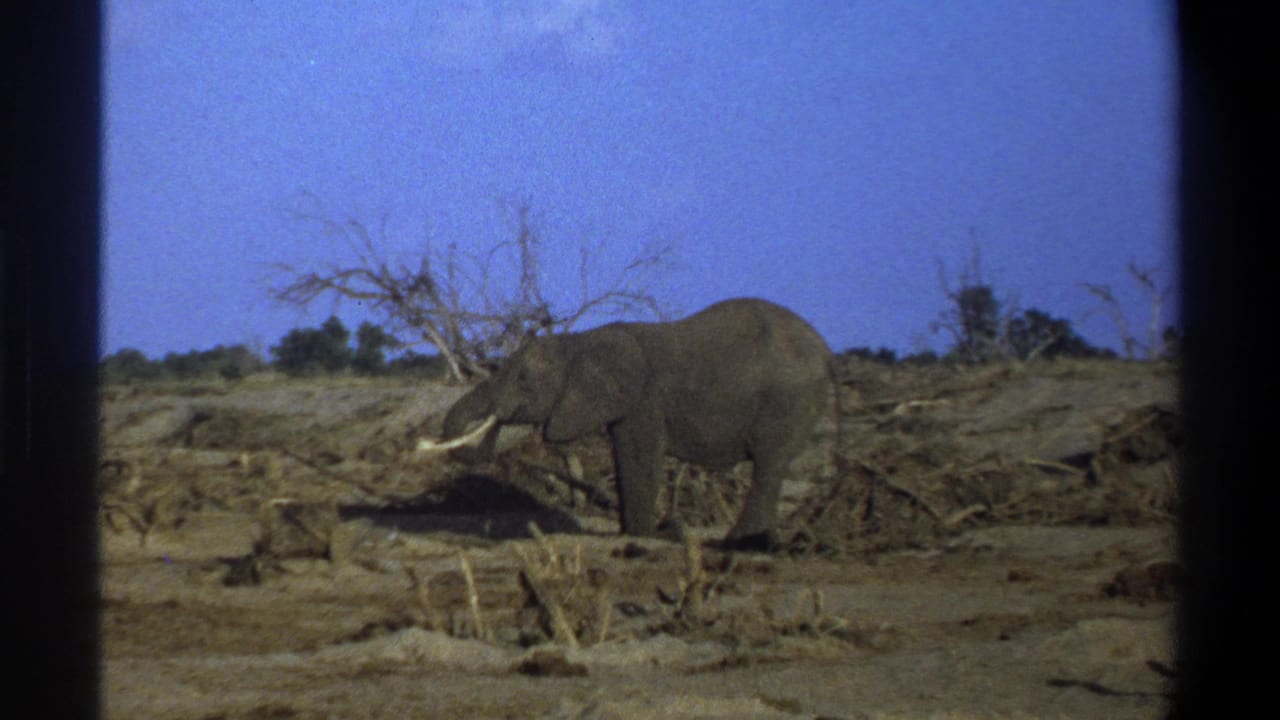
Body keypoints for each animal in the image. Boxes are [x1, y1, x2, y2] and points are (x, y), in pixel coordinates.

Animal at [426, 298, 836, 552]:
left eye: (524, 379)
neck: (579, 342)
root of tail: (826, 351)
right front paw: (642, 532)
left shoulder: (644, 399)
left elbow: (638, 455)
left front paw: (646, 534)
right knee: (772, 467)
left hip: (787, 400)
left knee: (768, 464)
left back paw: (740, 544)